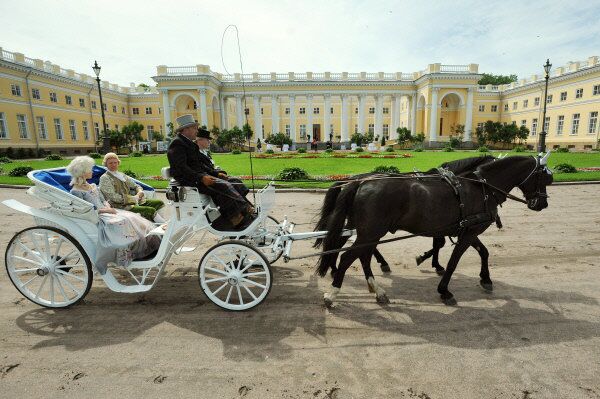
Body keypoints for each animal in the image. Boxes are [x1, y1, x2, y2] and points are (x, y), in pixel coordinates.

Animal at [314, 155, 496, 276]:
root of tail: (354, 180)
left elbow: (439, 243)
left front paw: (432, 262)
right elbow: (439, 243)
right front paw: (428, 260)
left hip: (361, 223)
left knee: (346, 240)